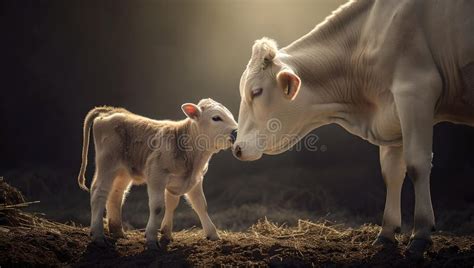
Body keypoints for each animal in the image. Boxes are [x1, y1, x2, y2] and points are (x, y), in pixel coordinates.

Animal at [79, 98, 239, 249]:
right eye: (216, 118)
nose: (236, 132)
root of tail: (111, 110)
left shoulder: (193, 180)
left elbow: (197, 205)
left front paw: (212, 235)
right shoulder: (157, 174)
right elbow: (157, 207)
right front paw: (151, 238)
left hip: (123, 172)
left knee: (116, 195)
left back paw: (118, 231)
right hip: (107, 163)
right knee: (99, 192)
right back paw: (98, 236)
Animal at [232, 0, 474, 256]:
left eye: (256, 91)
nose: (237, 147)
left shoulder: (415, 90)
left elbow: (417, 164)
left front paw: (420, 234)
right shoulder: (392, 113)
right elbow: (392, 172)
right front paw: (386, 233)